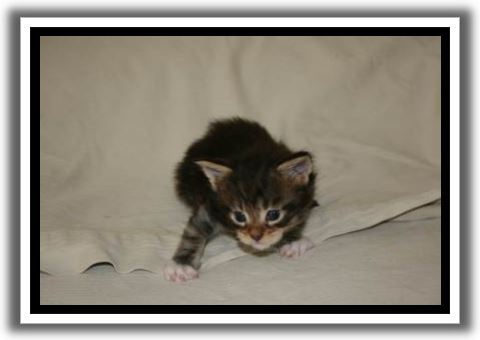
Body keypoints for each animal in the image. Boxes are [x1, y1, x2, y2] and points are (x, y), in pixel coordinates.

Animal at [163, 117, 316, 282]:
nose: (256, 237)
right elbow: (194, 231)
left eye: (273, 215)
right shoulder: (211, 205)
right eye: (239, 216)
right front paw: (181, 265)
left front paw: (293, 241)